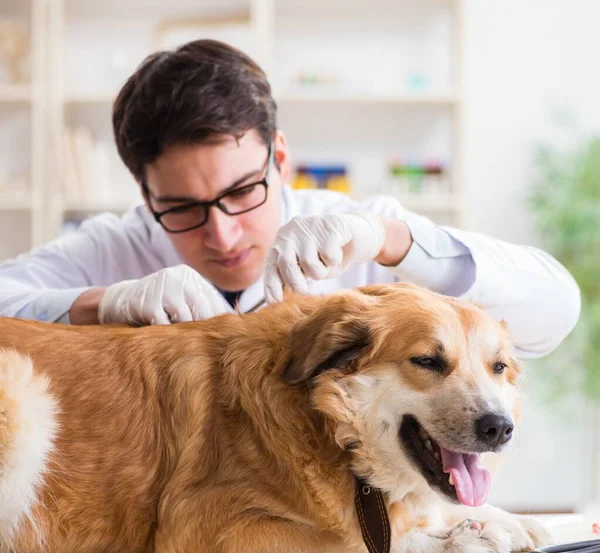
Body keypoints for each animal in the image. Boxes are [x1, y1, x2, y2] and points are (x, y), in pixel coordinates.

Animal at [0, 282, 552, 548]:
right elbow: (357, 543)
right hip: (23, 392)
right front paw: (463, 537)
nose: (500, 428)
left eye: (499, 367)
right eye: (428, 362)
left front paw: (506, 523)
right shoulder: (207, 527)